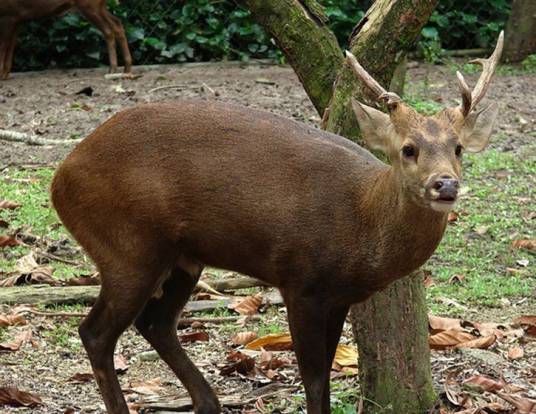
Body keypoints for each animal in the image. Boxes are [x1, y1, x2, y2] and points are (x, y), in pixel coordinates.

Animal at [0, 0, 132, 79]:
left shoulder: (9, 15)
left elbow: (4, 46)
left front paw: (1, 74)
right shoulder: (16, 18)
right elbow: (11, 45)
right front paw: (5, 74)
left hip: (89, 5)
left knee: (108, 30)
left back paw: (113, 69)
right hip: (99, 6)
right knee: (117, 24)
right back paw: (126, 68)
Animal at [49, 33, 502, 414]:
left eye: (458, 148)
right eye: (408, 149)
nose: (445, 184)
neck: (363, 222)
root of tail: (60, 179)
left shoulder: (339, 296)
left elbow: (325, 375)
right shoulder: (300, 281)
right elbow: (315, 381)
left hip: (181, 257)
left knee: (155, 323)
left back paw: (209, 403)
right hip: (127, 246)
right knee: (96, 332)